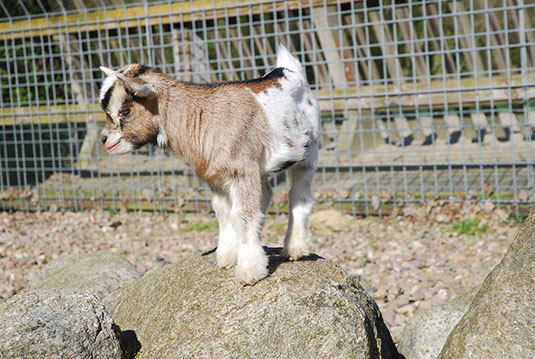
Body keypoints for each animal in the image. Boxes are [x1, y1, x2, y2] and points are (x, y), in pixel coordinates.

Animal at [99, 45, 320, 286]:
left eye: (125, 110)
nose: (104, 140)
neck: (203, 118)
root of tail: (288, 70)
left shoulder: (241, 169)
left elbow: (242, 214)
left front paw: (250, 271)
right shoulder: (216, 176)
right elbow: (224, 212)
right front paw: (229, 257)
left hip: (309, 151)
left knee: (300, 196)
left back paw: (294, 249)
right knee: (266, 195)